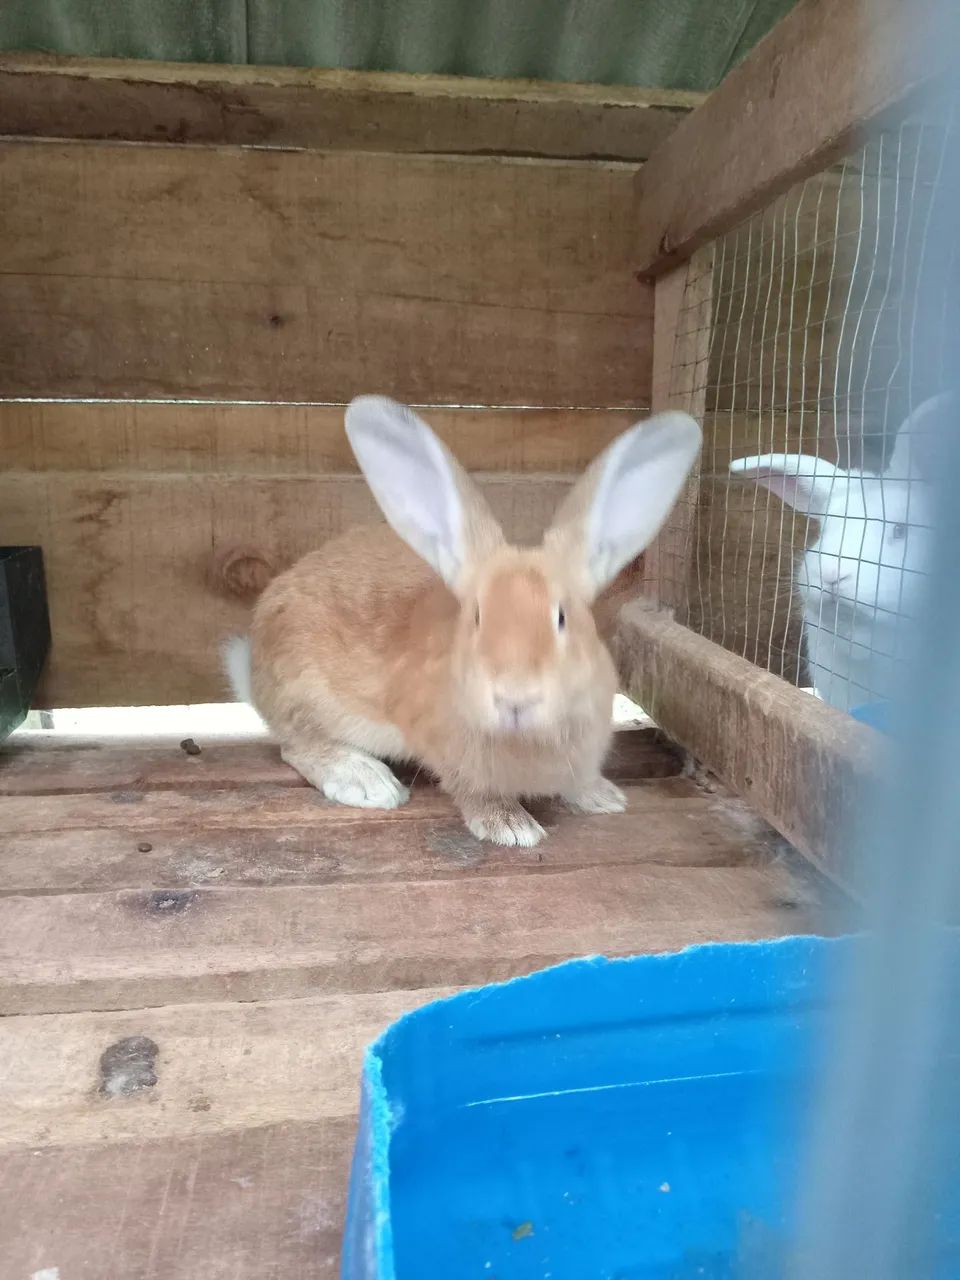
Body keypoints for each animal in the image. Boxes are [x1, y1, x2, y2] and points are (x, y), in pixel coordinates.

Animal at [225, 396, 701, 847]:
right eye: (476, 617)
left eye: (561, 617)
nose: (514, 698)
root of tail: (254, 669)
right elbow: (472, 790)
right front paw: (511, 827)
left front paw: (603, 797)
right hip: (307, 696)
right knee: (296, 746)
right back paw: (366, 780)